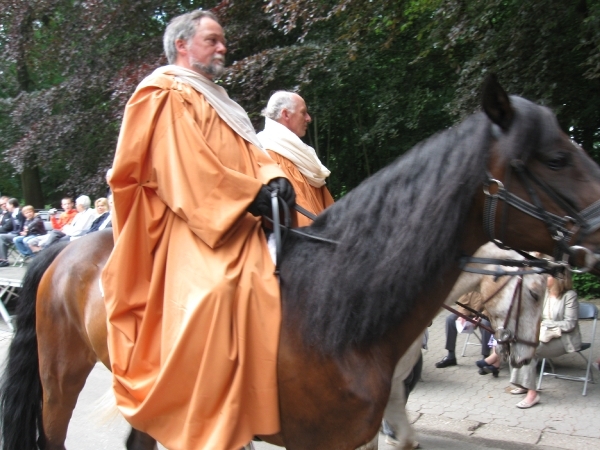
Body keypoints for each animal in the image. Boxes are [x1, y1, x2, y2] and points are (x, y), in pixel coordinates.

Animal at [3, 74, 600, 450]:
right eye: (555, 158)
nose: (521, 355)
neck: (341, 308)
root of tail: (65, 249)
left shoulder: (376, 424)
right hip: (61, 375)